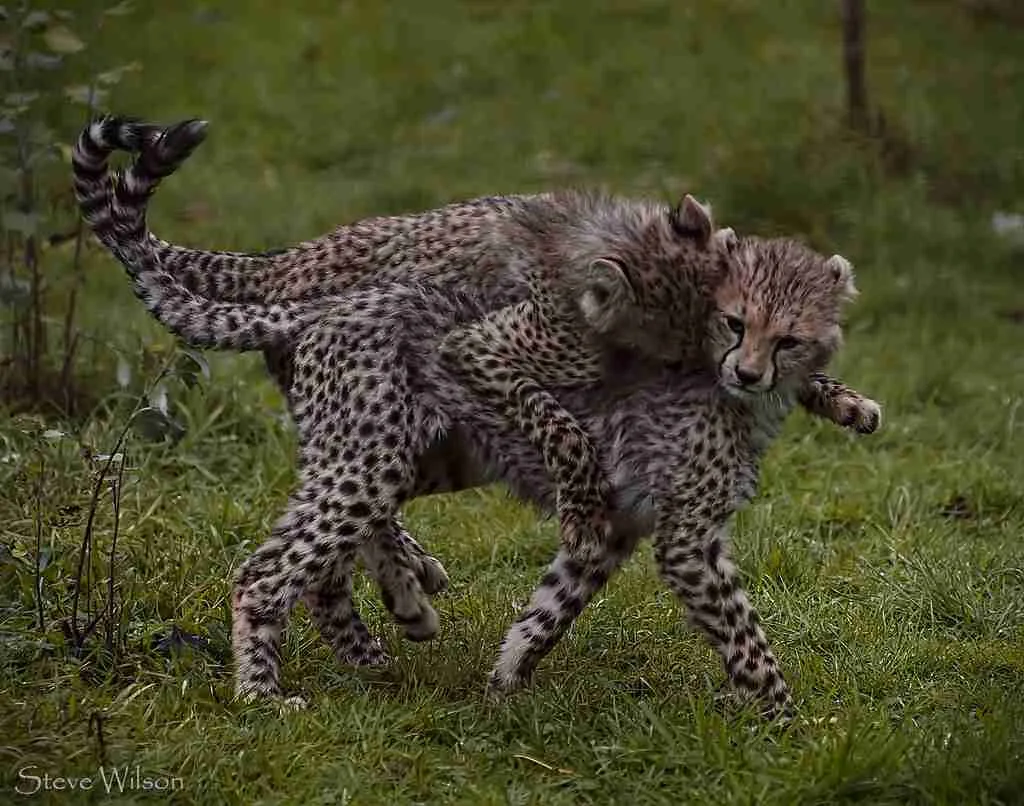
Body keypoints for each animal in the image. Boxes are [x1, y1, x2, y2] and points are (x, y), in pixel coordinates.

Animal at [72, 118, 879, 715]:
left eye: (786, 337)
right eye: (732, 325)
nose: (738, 373)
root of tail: (304, 289)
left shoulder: (620, 529)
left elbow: (553, 605)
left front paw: (506, 679)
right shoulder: (687, 539)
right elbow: (745, 635)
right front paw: (787, 721)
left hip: (405, 453)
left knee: (331, 558)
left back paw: (383, 631)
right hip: (371, 457)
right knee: (269, 571)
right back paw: (268, 693)